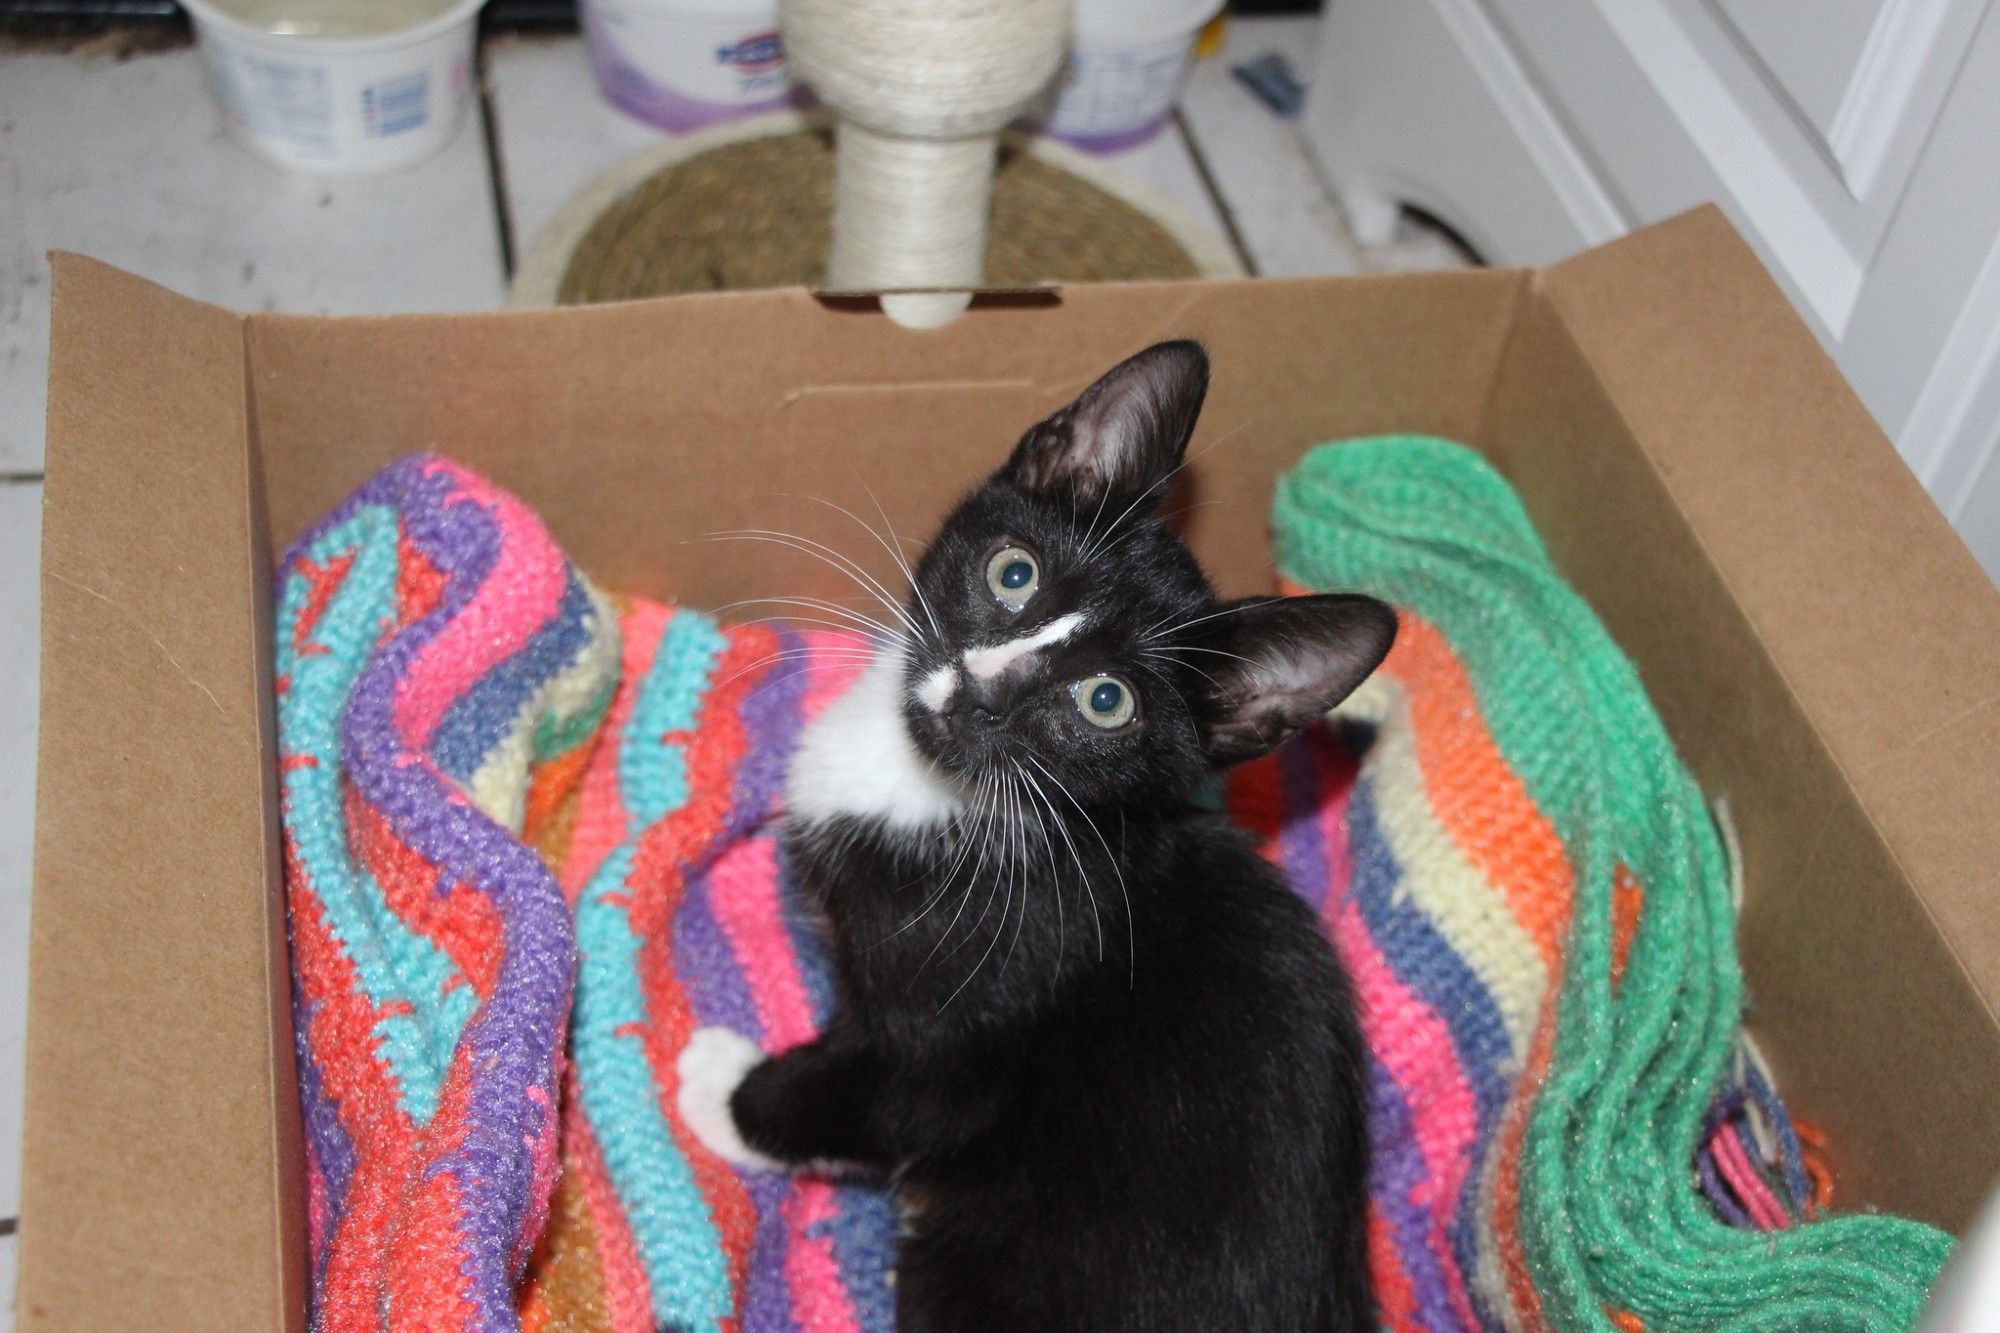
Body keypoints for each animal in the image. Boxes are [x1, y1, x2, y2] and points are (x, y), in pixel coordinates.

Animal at [680, 338, 1384, 1320]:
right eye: (1013, 573)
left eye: (1106, 701)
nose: (977, 692)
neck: (959, 799)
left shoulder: (958, 1040)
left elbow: (866, 1097)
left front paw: (722, 1088)